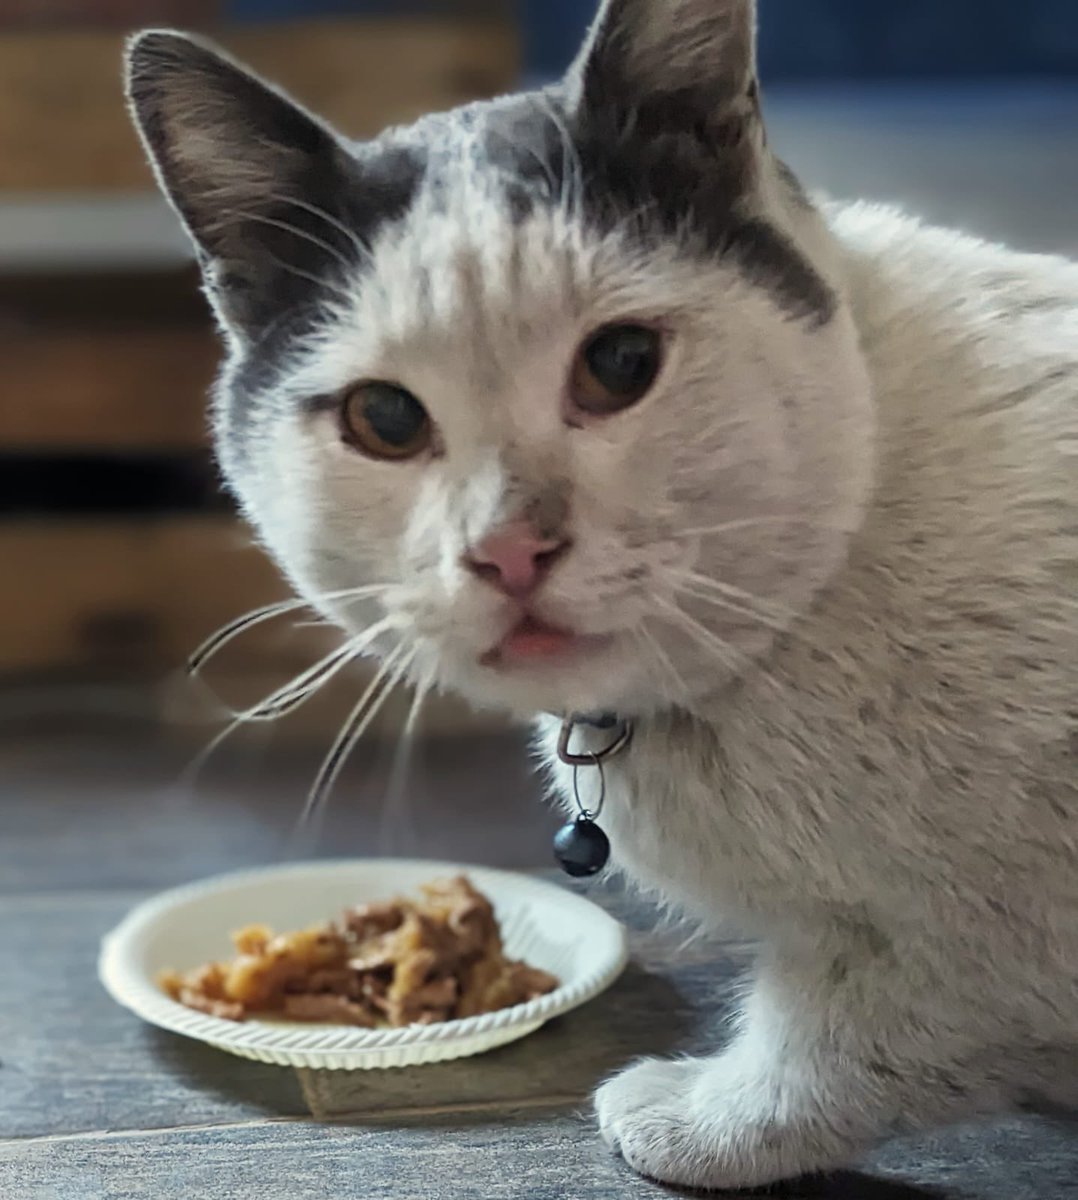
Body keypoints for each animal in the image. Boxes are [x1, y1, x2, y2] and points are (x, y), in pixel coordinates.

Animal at [121, 2, 1070, 1190]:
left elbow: (860, 1024)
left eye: (619, 363)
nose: (510, 549)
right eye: (385, 419)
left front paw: (709, 1122)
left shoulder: (974, 936)